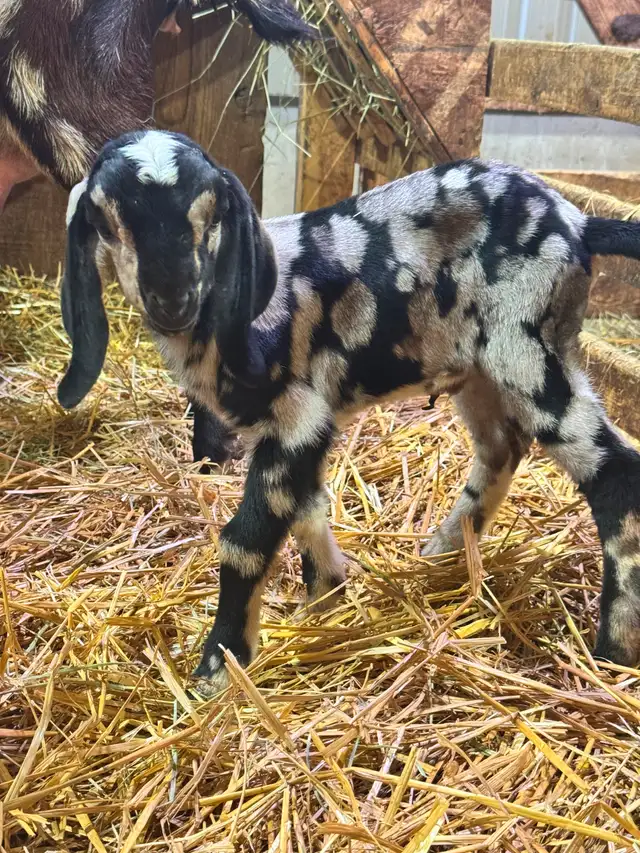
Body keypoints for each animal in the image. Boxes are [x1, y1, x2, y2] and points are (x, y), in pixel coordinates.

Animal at [58, 129, 640, 695]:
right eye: (105, 220)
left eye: (212, 211)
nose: (173, 300)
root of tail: (579, 222)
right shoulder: (303, 432)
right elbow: (308, 508)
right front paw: (325, 601)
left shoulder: (297, 417)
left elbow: (245, 542)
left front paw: (219, 669)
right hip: (478, 369)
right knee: (502, 447)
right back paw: (445, 553)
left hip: (527, 349)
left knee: (615, 471)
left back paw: (614, 648)